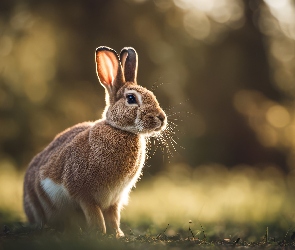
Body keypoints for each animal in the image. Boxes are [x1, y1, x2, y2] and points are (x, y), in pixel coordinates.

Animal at [23, 46, 168, 236]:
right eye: (131, 98)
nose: (162, 118)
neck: (120, 130)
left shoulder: (115, 199)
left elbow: (114, 216)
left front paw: (117, 234)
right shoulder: (84, 194)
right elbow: (95, 214)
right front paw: (99, 233)